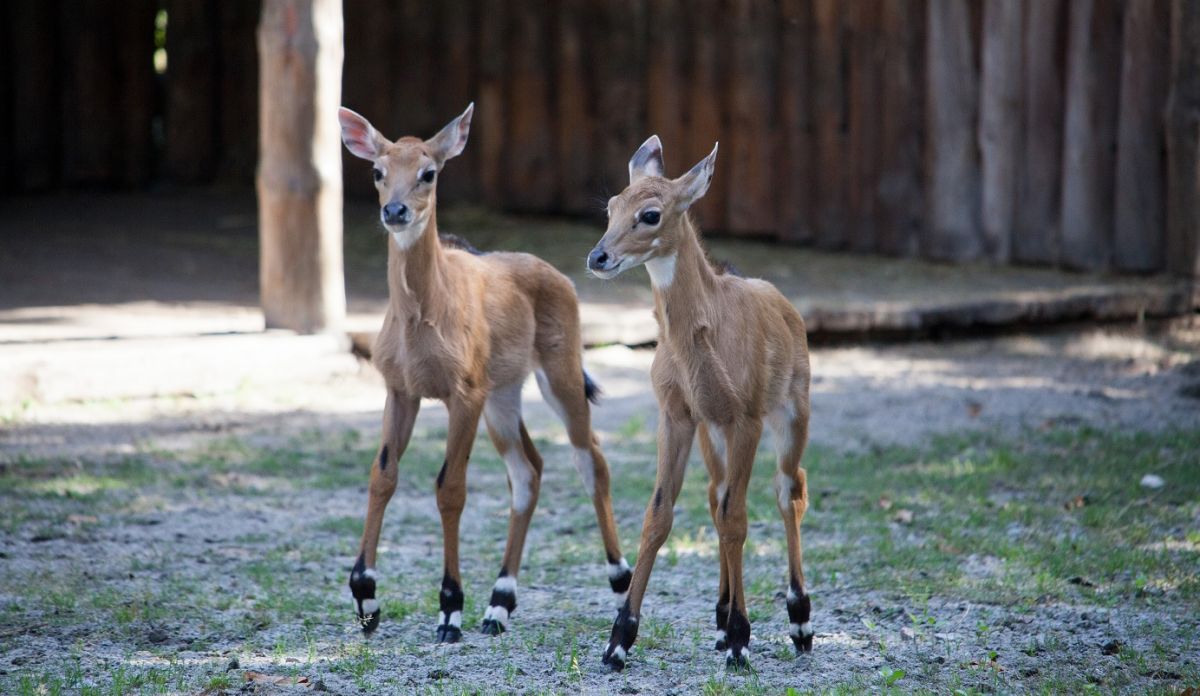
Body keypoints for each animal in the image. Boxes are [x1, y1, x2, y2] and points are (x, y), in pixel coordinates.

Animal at [338, 102, 633, 643]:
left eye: (428, 173)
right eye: (377, 172)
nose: (396, 212)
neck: (421, 316)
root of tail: (559, 275)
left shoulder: (463, 394)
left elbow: (450, 488)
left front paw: (449, 609)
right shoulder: (401, 390)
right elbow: (382, 476)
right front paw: (366, 598)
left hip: (557, 377)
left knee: (591, 459)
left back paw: (620, 584)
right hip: (504, 397)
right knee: (528, 470)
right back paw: (499, 604)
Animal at [583, 134, 811, 667]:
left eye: (650, 214)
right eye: (611, 206)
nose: (598, 257)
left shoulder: (746, 417)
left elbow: (738, 520)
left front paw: (743, 639)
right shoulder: (678, 416)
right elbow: (659, 515)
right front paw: (618, 640)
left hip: (791, 413)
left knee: (787, 490)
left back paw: (799, 620)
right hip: (714, 434)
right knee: (716, 495)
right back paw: (722, 619)